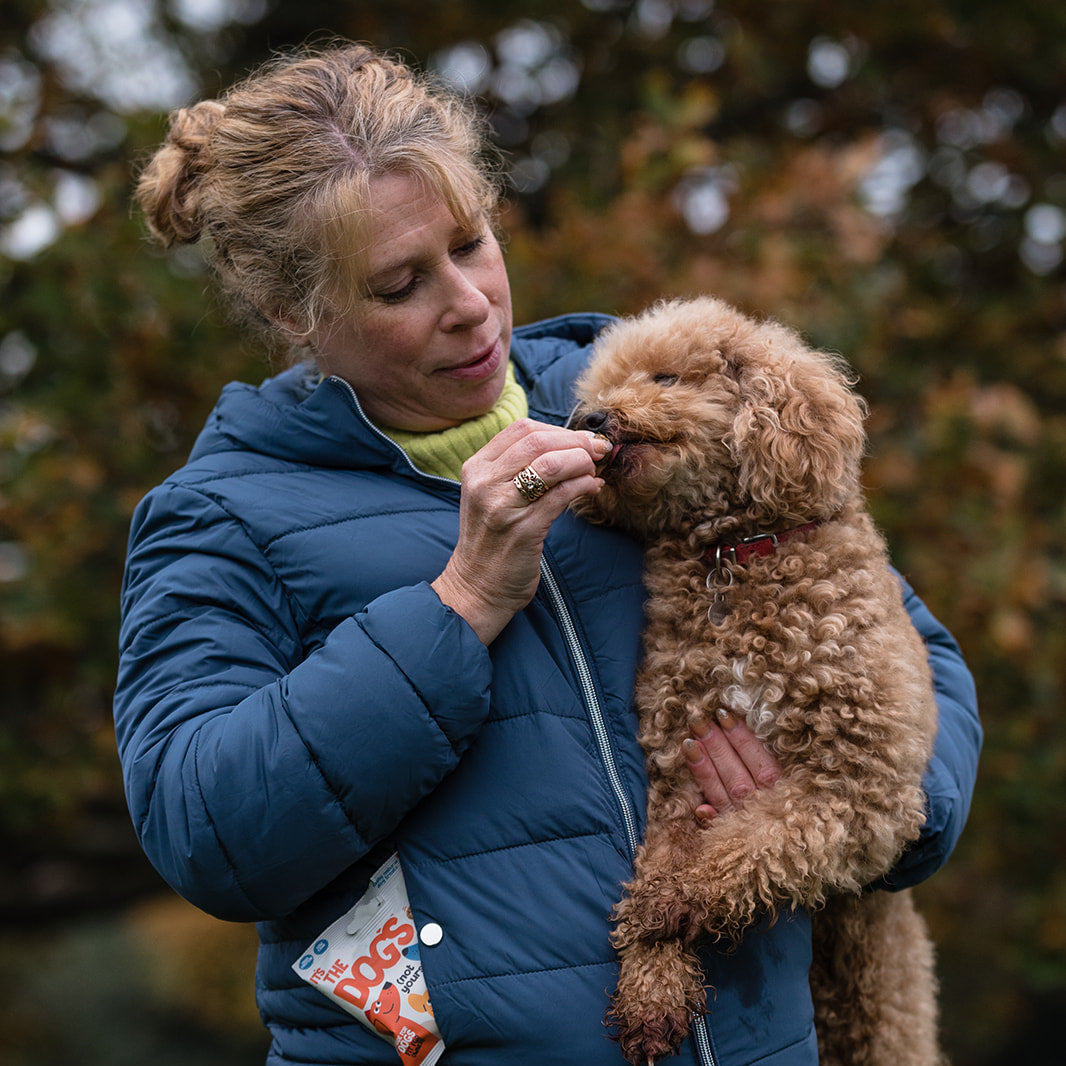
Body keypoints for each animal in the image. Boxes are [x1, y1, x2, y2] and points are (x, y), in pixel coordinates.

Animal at [571, 296, 946, 1066]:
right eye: (603, 385)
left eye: (666, 376)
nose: (590, 418)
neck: (732, 552)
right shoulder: (679, 768)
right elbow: (666, 861)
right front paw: (651, 987)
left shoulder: (859, 788)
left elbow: (753, 844)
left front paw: (669, 902)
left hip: (884, 999)